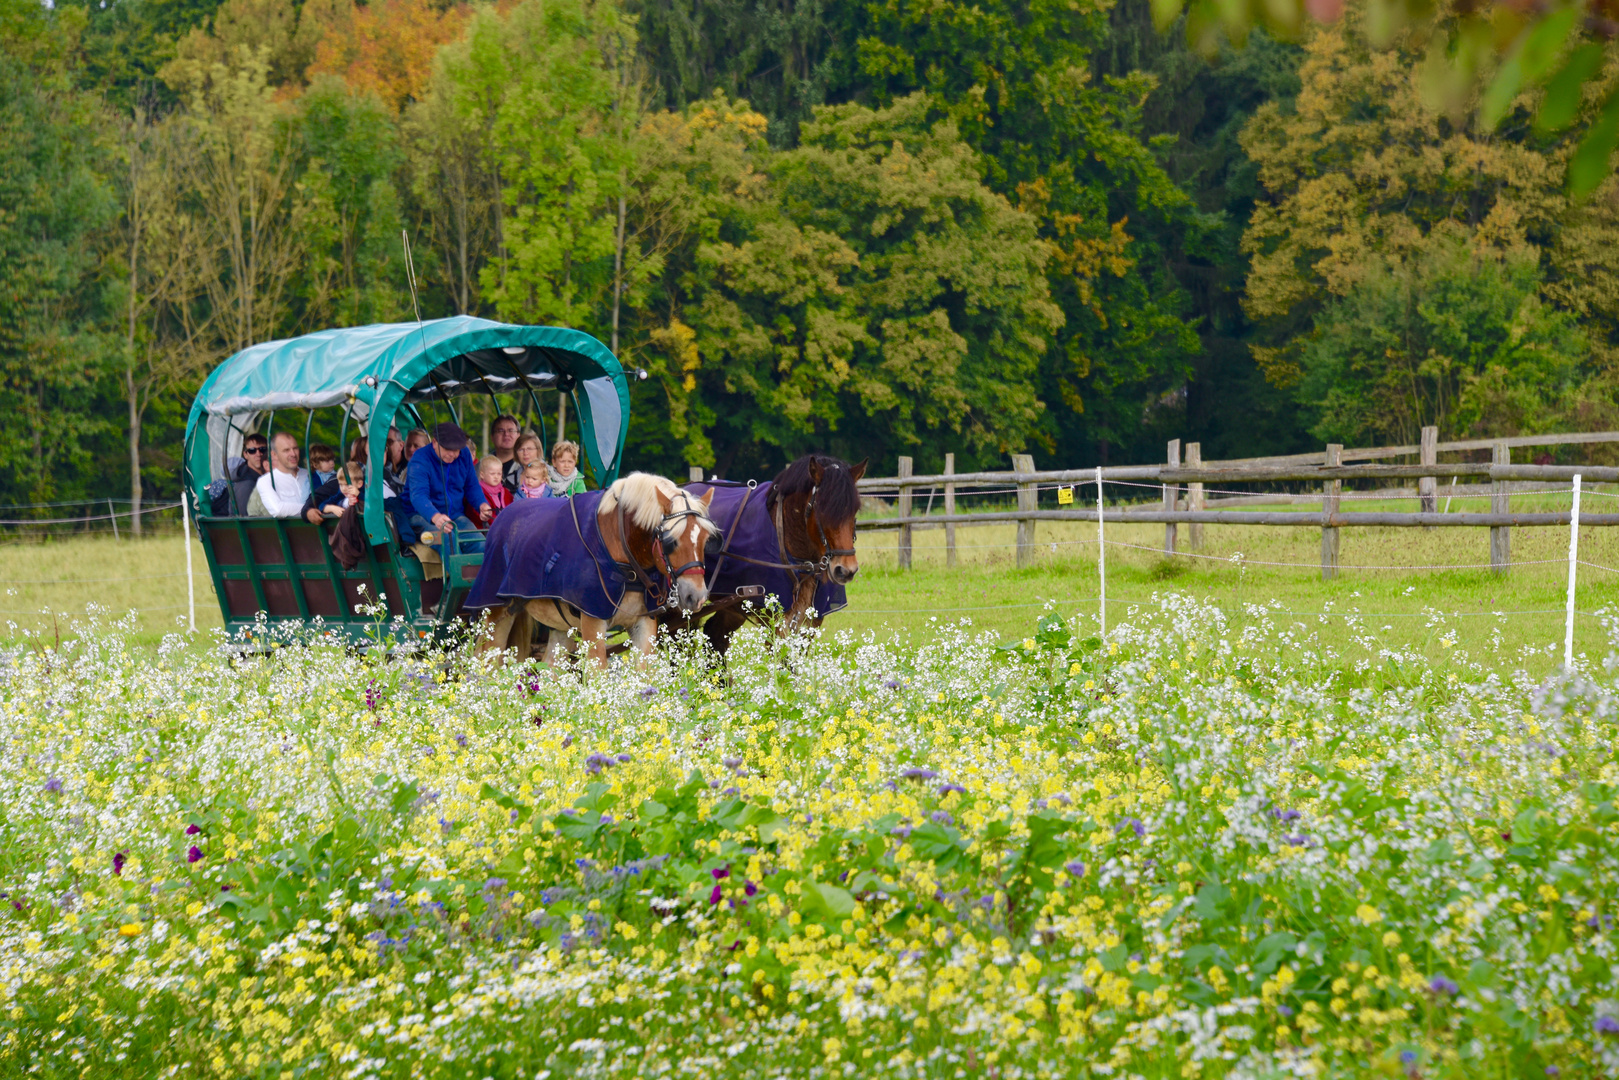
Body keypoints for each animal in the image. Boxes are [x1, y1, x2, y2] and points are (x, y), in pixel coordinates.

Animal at [472, 476, 715, 667]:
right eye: (671, 541)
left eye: (706, 540)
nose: (696, 596)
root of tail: (502, 516)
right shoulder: (593, 623)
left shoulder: (644, 623)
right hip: (496, 613)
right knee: (486, 662)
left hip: (561, 625)